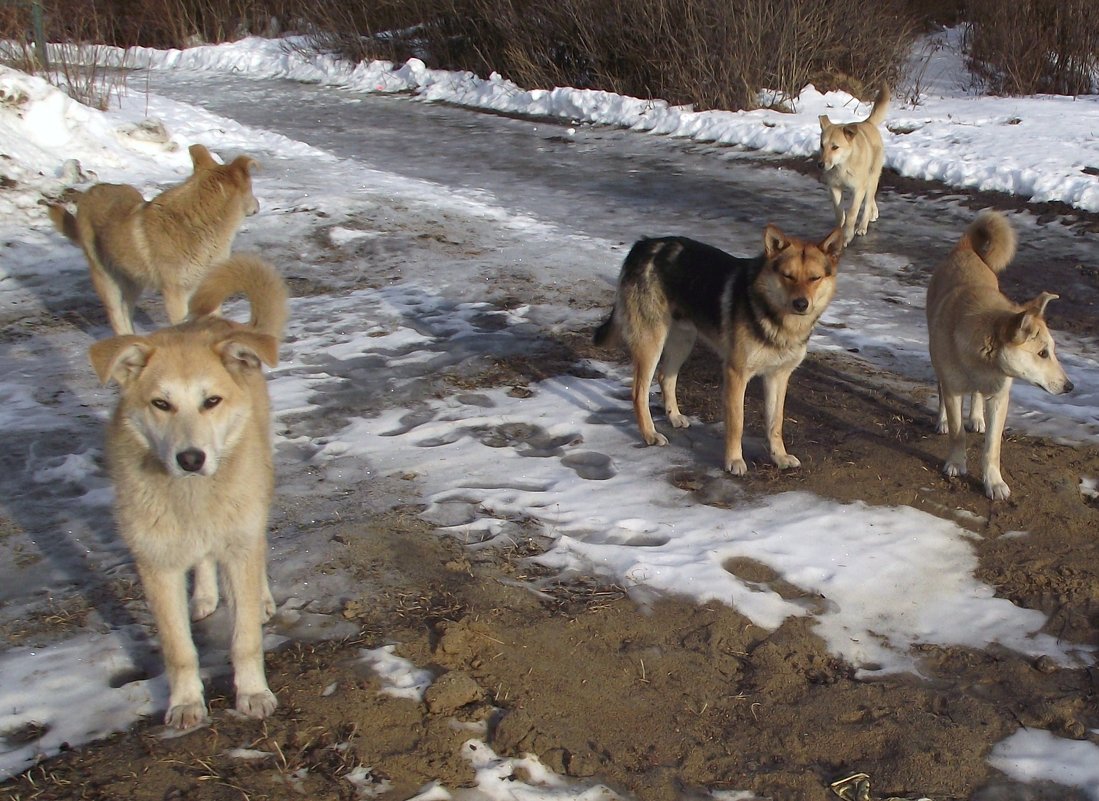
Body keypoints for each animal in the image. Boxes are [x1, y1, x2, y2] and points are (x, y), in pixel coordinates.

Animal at [50, 145, 261, 336]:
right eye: (252, 188)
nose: (258, 205)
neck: (199, 224)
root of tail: (92, 190)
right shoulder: (175, 294)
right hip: (107, 282)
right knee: (118, 318)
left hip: (133, 282)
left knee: (127, 312)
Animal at [89, 252, 287, 729]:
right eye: (161, 403)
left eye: (211, 401)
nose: (191, 458)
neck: (193, 497)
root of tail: (214, 321)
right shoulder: (155, 562)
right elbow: (178, 649)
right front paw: (184, 703)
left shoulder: (239, 539)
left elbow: (245, 637)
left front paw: (252, 693)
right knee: (202, 560)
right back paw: (205, 595)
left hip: (256, 498)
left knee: (254, 551)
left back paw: (259, 596)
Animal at [593, 223, 839, 474]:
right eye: (787, 276)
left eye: (815, 278)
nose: (801, 304)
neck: (776, 318)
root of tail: (643, 244)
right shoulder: (736, 374)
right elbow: (737, 423)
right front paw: (734, 460)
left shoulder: (778, 377)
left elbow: (775, 422)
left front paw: (779, 456)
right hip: (651, 342)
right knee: (638, 393)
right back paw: (650, 434)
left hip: (683, 340)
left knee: (665, 377)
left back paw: (674, 417)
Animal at [817, 85, 892, 243]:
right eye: (822, 145)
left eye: (835, 147)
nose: (820, 165)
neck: (842, 165)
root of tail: (868, 123)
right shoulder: (834, 187)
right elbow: (839, 212)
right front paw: (838, 231)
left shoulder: (858, 189)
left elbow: (852, 213)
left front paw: (847, 235)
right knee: (870, 199)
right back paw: (873, 213)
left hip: (872, 177)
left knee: (868, 202)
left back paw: (863, 226)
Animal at [927, 212, 1072, 501]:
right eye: (1042, 353)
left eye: (1052, 351)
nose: (1070, 386)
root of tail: (965, 248)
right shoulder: (953, 390)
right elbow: (958, 433)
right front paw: (956, 463)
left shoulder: (999, 396)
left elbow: (992, 447)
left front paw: (993, 482)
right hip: (936, 356)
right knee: (941, 387)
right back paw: (943, 420)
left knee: (977, 395)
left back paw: (976, 417)